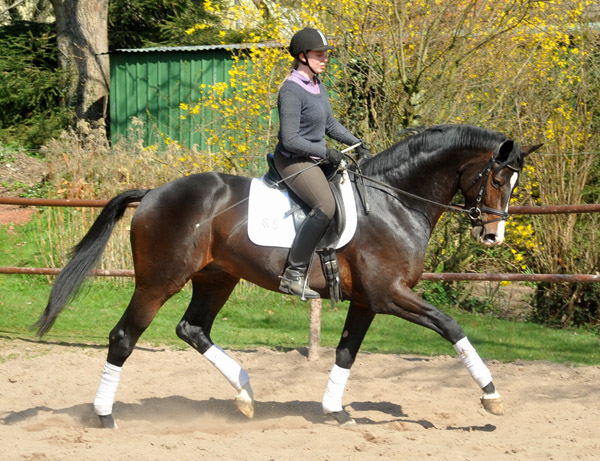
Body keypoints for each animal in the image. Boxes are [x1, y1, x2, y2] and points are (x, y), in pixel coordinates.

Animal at [34, 123, 540, 428]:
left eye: (513, 183)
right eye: (498, 179)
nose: (492, 236)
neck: (395, 201)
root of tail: (155, 192)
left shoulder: (366, 300)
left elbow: (346, 352)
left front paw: (335, 410)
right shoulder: (389, 294)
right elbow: (451, 325)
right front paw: (491, 394)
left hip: (217, 277)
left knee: (192, 328)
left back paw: (245, 393)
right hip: (159, 282)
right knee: (124, 336)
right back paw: (104, 415)